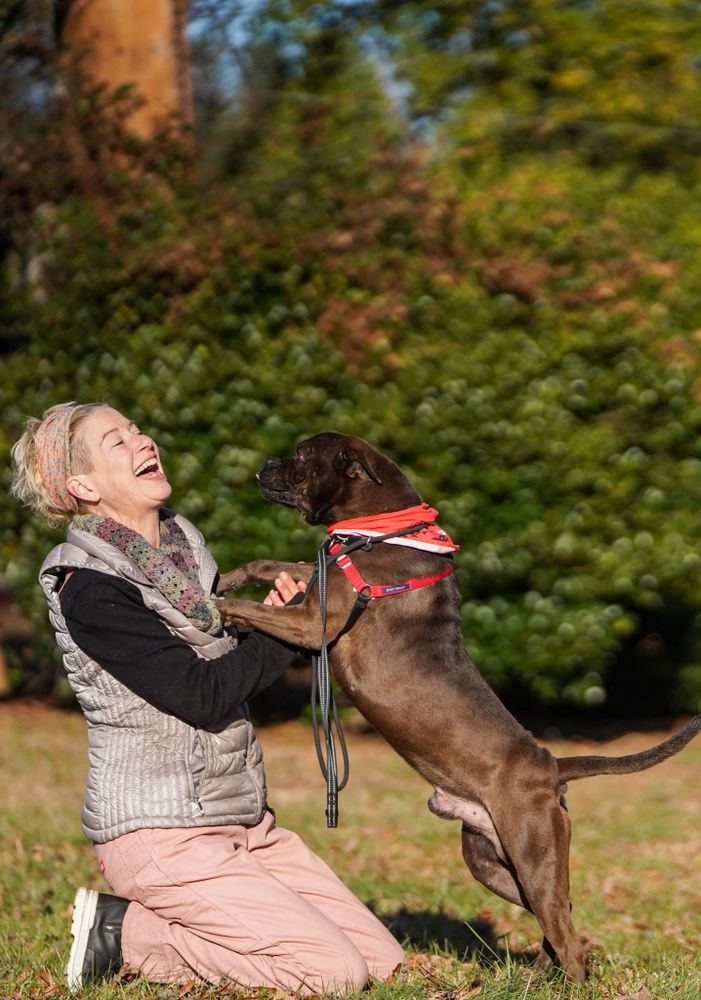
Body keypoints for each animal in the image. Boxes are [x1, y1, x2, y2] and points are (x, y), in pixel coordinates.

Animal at [217, 430, 700, 976]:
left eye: (300, 456)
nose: (264, 463)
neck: (376, 530)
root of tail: (552, 766)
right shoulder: (314, 587)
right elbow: (277, 564)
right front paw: (229, 577)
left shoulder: (312, 622)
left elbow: (250, 607)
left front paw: (215, 605)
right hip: (490, 861)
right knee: (560, 919)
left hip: (533, 853)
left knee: (567, 933)